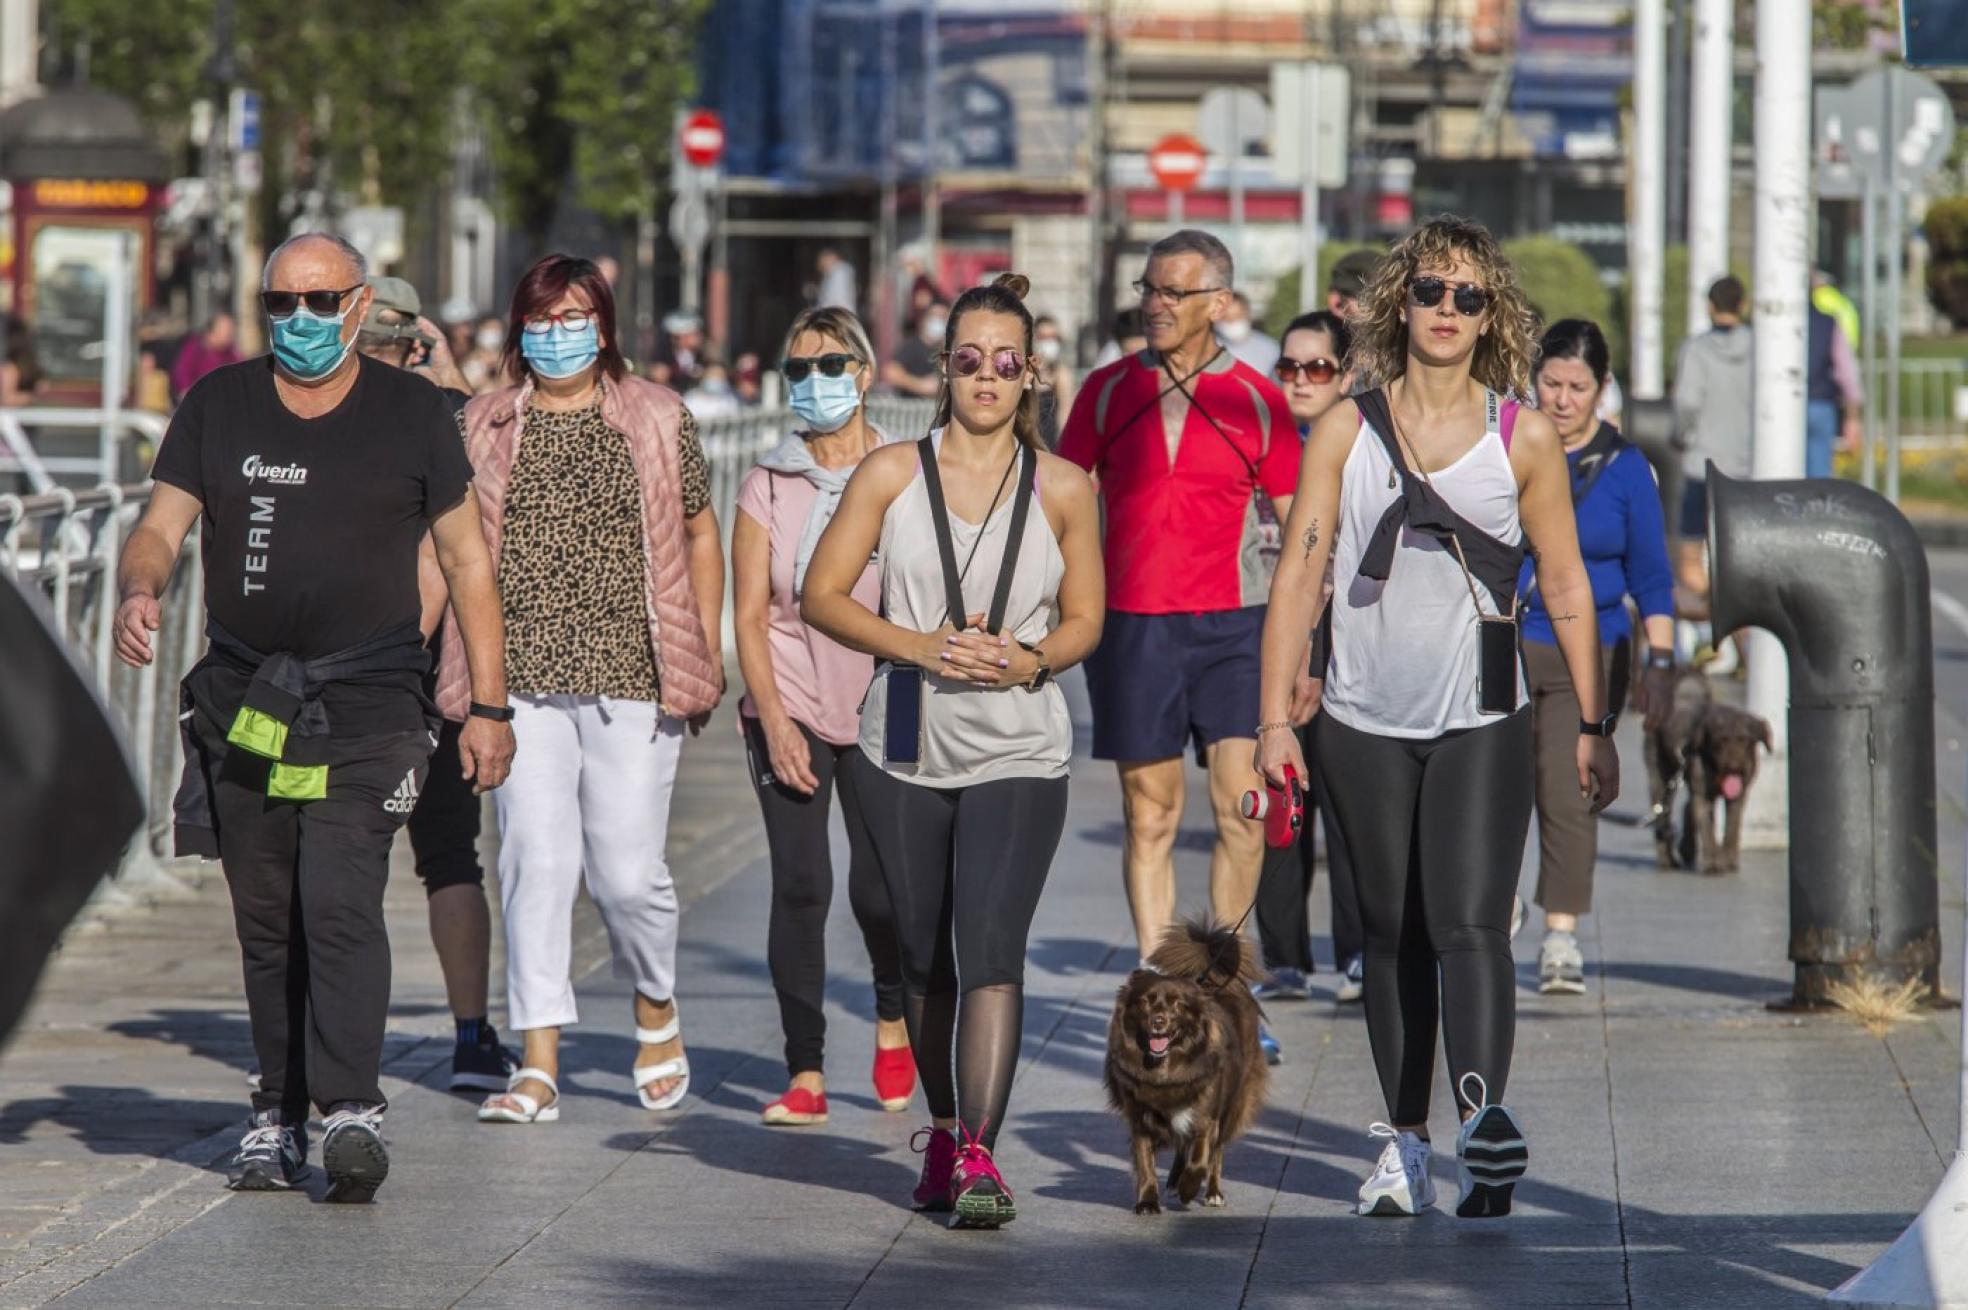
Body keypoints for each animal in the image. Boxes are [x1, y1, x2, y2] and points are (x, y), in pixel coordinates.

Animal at [1102, 916, 1267, 1211]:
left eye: (1177, 1005)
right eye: (1145, 1002)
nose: (1158, 1021)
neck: (1165, 1067)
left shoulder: (1206, 1117)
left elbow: (1201, 1158)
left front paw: (1189, 1188)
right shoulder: (1140, 1119)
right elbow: (1145, 1163)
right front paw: (1148, 1201)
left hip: (1232, 1106)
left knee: (1216, 1153)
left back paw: (1212, 1192)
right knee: (1181, 1147)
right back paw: (1173, 1183)